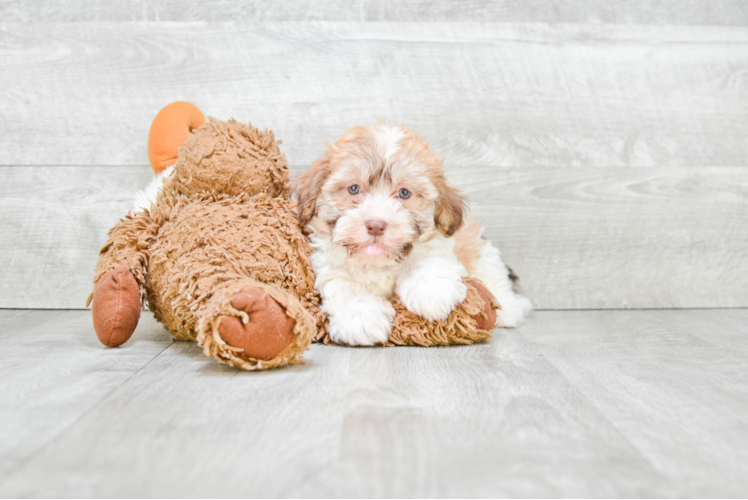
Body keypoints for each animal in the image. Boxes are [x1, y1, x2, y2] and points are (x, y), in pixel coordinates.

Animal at [292, 123, 532, 346]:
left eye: (404, 193)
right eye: (353, 189)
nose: (376, 225)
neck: (377, 262)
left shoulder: (440, 244)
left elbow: (429, 260)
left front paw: (430, 291)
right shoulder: (329, 265)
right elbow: (343, 286)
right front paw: (361, 315)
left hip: (480, 249)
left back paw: (511, 307)